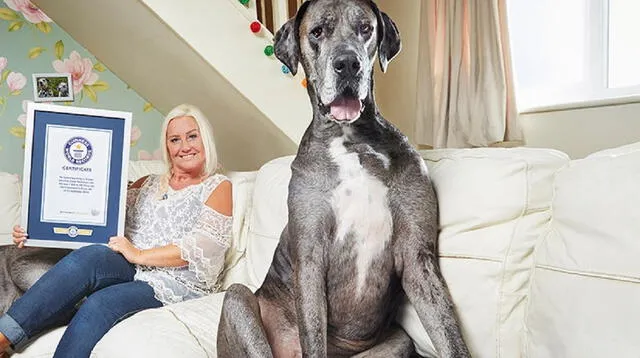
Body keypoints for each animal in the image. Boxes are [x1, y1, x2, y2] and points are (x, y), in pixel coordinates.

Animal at [218, 0, 472, 356]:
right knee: (241, 298)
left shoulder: (417, 258)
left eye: (366, 29)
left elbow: (450, 336)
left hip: (399, 341)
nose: (348, 63)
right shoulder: (309, 257)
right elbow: (313, 332)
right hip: (237, 299)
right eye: (317, 32)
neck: (351, 139)